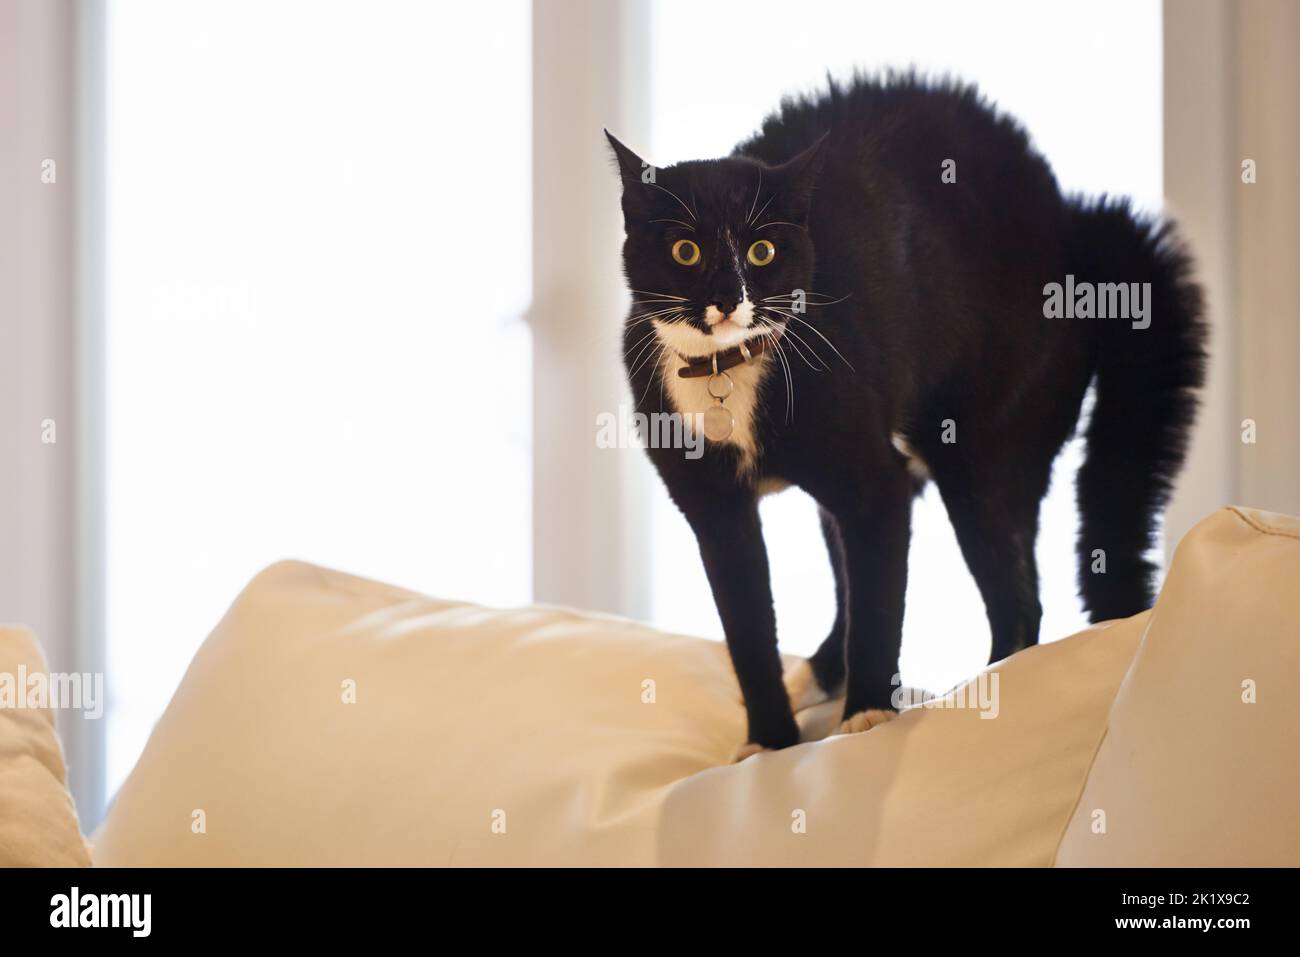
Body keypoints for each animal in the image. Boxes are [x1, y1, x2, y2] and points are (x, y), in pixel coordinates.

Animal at [603, 72, 1201, 764]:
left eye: (762, 250)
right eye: (685, 249)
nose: (729, 298)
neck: (728, 373)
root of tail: (1070, 218)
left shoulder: (873, 481)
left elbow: (882, 600)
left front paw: (866, 716)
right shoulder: (712, 507)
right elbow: (747, 625)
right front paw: (769, 743)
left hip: (982, 446)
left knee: (1016, 599)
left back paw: (996, 689)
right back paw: (816, 674)